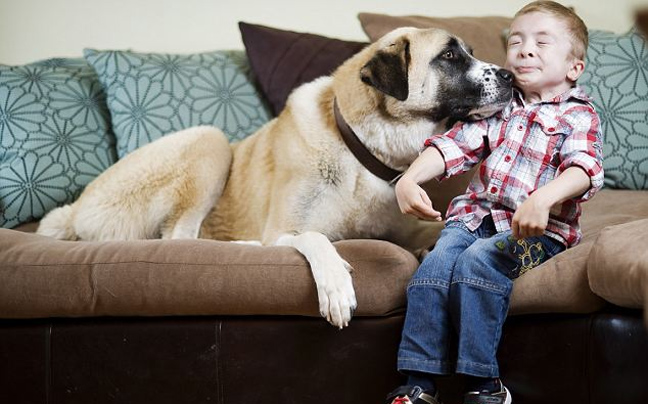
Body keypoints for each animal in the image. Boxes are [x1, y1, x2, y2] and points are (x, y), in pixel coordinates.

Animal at [36, 27, 512, 328]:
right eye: (449, 56)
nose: (509, 75)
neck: (358, 148)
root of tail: (73, 210)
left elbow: (431, 230)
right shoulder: (286, 227)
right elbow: (314, 238)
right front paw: (336, 284)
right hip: (208, 141)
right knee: (178, 239)